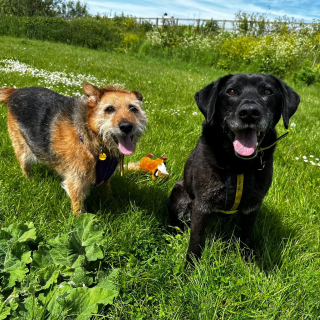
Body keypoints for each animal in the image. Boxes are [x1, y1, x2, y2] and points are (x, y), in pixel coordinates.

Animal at [0, 84, 148, 214]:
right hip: (22, 149)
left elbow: (107, 191)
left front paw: (111, 203)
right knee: (25, 167)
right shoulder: (76, 180)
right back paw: (30, 181)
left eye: (133, 109)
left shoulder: (106, 178)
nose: (126, 126)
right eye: (109, 109)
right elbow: (78, 205)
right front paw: (79, 221)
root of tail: (15, 91)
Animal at [168, 74, 300, 262]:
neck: (239, 165)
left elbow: (247, 238)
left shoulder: (252, 207)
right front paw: (190, 269)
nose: (249, 113)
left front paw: (248, 264)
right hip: (179, 194)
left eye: (268, 92)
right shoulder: (202, 204)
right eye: (231, 91)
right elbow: (195, 242)